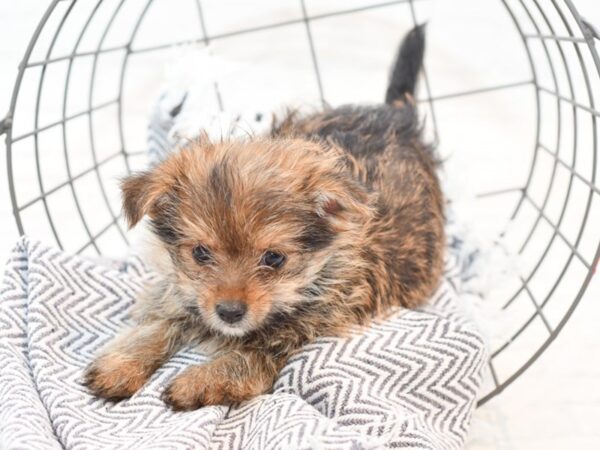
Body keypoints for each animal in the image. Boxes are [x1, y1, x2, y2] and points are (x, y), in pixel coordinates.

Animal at [82, 25, 442, 412]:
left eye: (274, 258)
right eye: (200, 253)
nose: (229, 312)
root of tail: (398, 115)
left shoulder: (292, 340)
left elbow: (244, 361)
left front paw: (197, 382)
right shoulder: (179, 291)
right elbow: (160, 322)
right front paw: (121, 364)